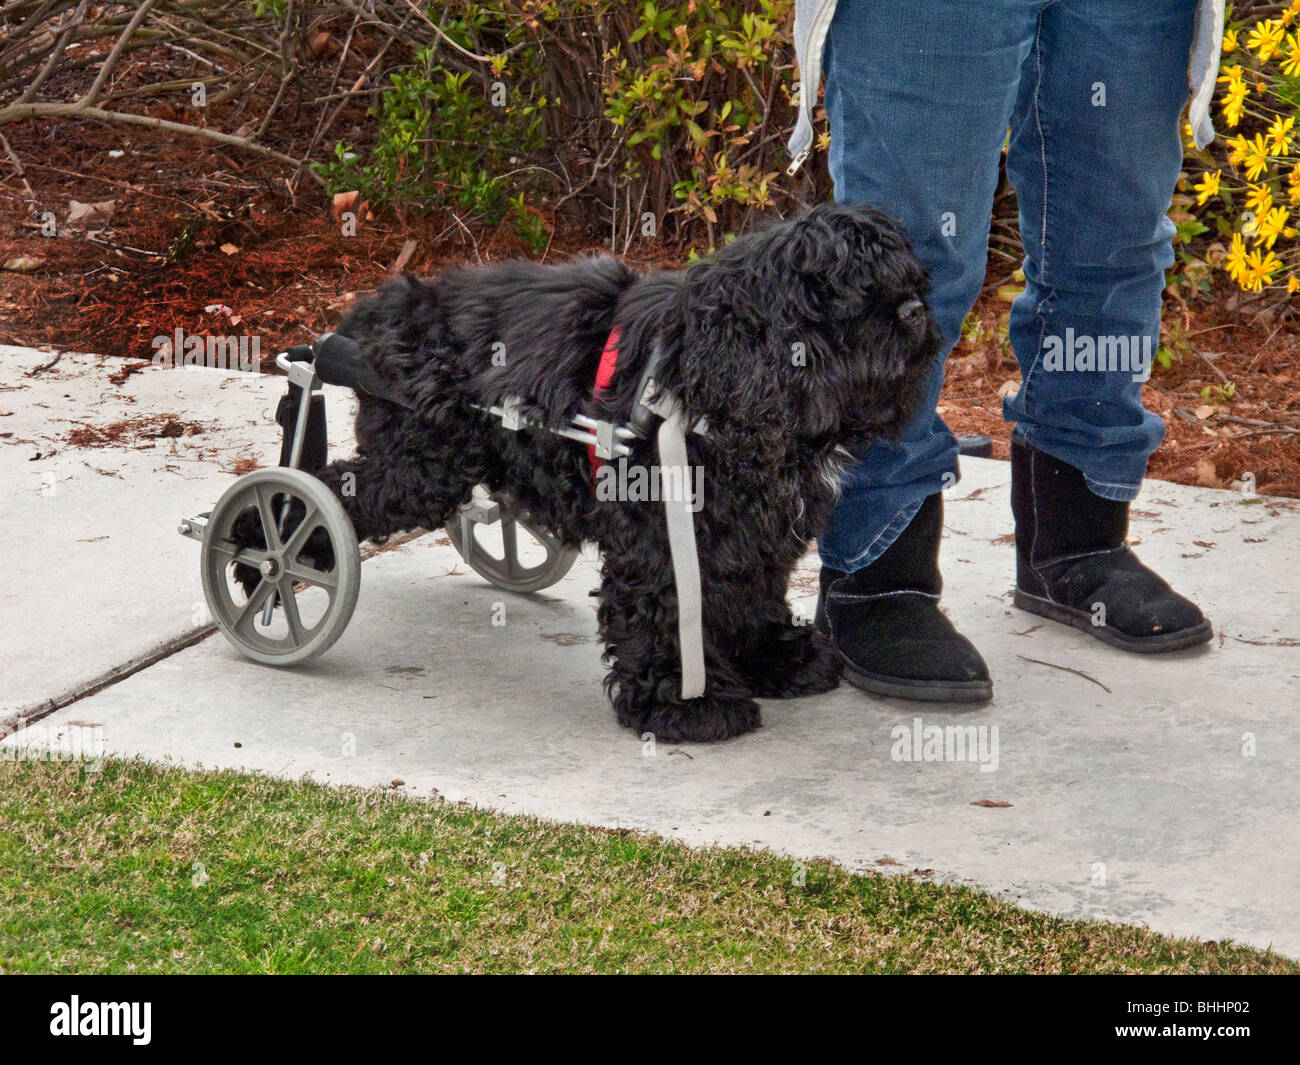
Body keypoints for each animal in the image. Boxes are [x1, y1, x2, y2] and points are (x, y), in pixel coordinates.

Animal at [245, 204, 935, 743]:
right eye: (852, 292)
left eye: (909, 280)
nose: (914, 312)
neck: (713, 369)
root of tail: (367, 317)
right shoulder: (664, 534)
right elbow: (667, 612)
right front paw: (682, 702)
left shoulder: (751, 533)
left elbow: (750, 595)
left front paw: (774, 659)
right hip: (416, 466)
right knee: (318, 493)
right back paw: (260, 560)